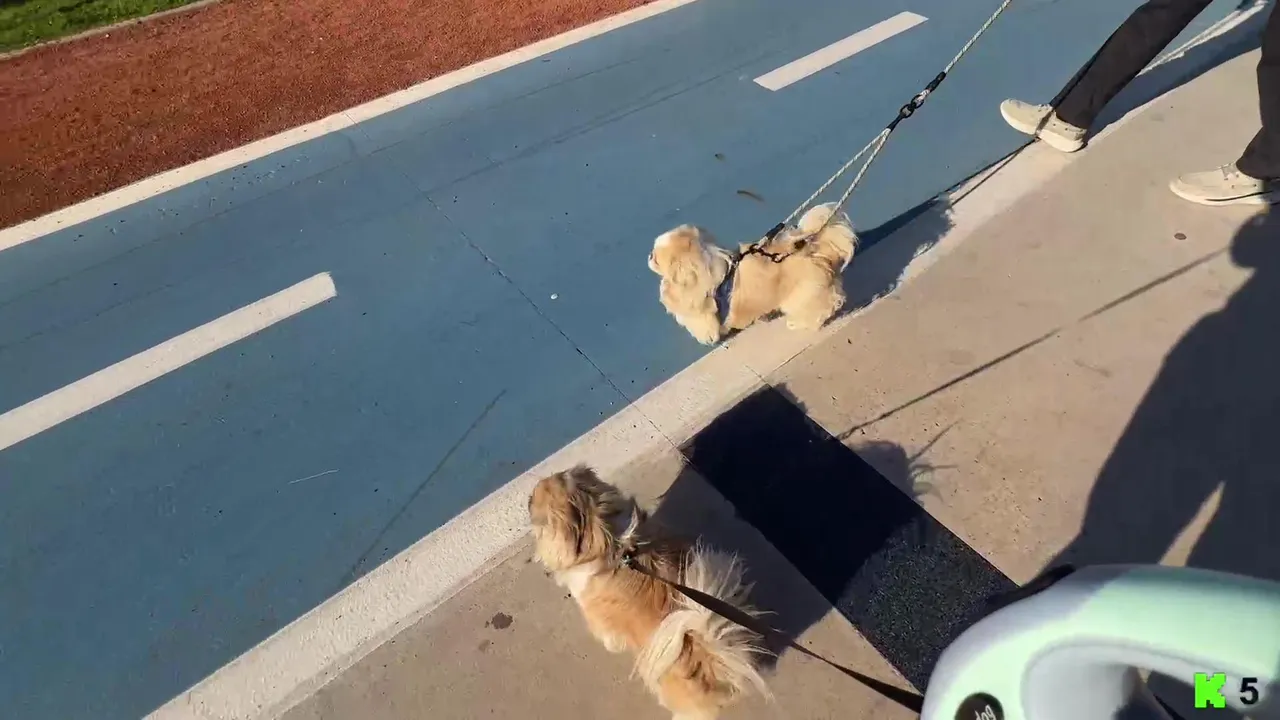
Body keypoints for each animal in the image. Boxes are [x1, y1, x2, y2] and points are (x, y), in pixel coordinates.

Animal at [648, 203, 857, 343]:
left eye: (656, 258)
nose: (648, 256)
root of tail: (816, 249)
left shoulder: (700, 315)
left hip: (800, 297)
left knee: (824, 307)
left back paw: (798, 323)